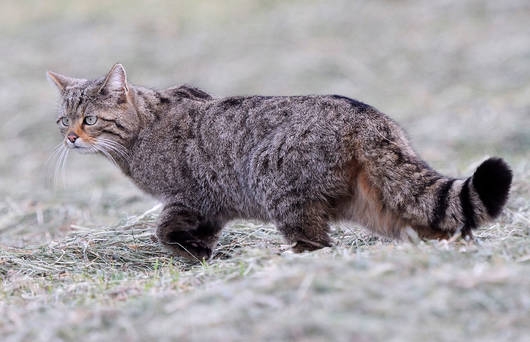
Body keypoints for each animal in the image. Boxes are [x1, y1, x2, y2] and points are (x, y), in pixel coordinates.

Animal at [46, 64, 512, 260]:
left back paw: (288, 256)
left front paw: (194, 251)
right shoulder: (211, 202)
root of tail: (369, 118)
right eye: (63, 119)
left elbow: (164, 229)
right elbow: (187, 231)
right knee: (433, 221)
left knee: (318, 242)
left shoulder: (189, 194)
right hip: (379, 203)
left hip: (281, 191)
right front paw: (201, 251)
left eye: (89, 119)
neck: (142, 131)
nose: (70, 137)